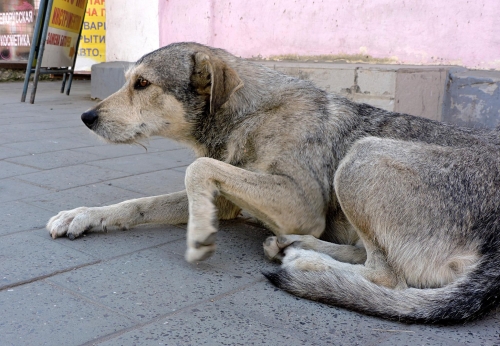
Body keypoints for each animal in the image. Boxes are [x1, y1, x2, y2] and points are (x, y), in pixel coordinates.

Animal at [47, 42, 500, 324]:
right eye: (128, 80)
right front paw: (82, 215)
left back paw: (307, 261)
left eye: (143, 84)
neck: (248, 113)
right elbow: (140, 204)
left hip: (362, 158)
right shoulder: (230, 198)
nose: (87, 118)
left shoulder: (302, 204)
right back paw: (293, 247)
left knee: (388, 276)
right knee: (370, 260)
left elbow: (198, 168)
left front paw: (199, 234)